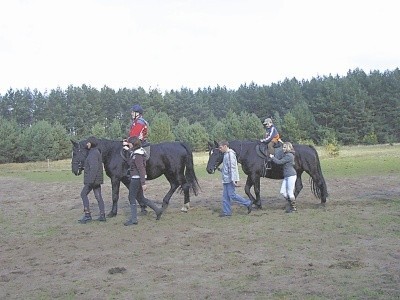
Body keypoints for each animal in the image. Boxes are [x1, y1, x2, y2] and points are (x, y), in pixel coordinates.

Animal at [72, 138, 200, 216]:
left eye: (77, 152)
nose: (74, 170)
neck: (111, 152)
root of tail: (179, 143)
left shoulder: (115, 178)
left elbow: (115, 196)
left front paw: (113, 213)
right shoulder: (127, 179)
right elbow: (138, 195)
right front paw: (143, 208)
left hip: (177, 172)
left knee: (185, 186)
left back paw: (185, 206)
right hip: (168, 173)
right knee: (174, 185)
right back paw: (164, 204)